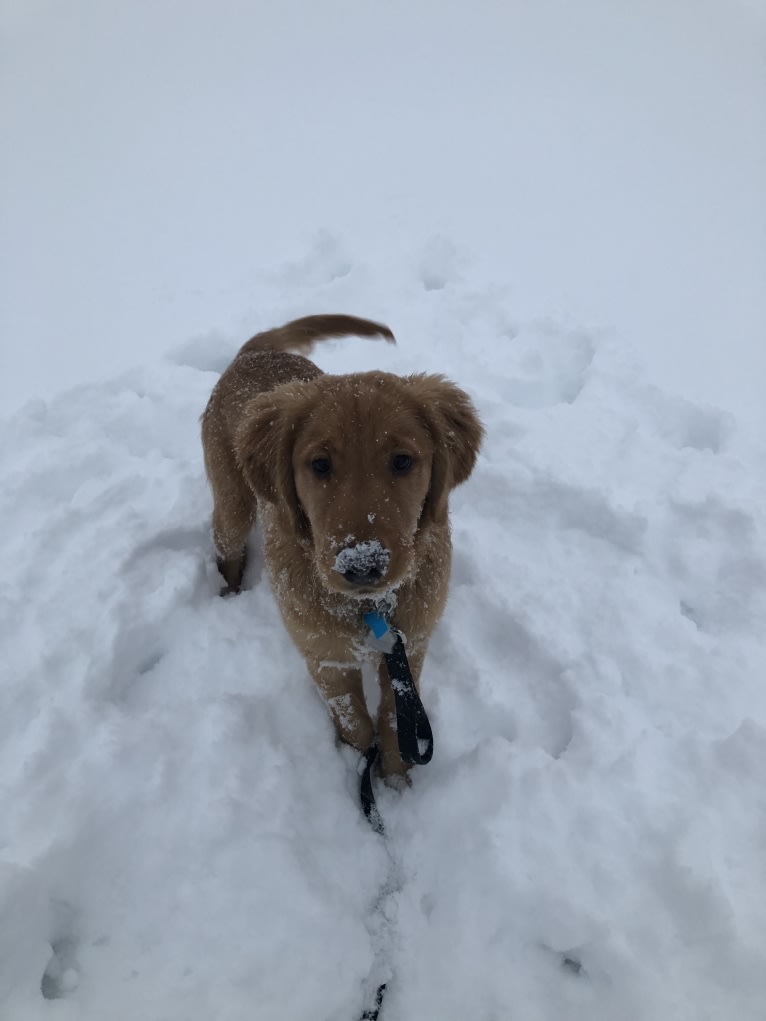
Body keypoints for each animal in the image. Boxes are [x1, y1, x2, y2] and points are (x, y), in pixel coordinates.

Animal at [201, 314, 482, 775]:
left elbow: (393, 722)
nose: (362, 565)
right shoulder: (326, 659)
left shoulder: (410, 648)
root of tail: (256, 352)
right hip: (233, 502)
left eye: (402, 461)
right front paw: (361, 769)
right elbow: (356, 724)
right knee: (226, 545)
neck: (371, 608)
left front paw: (395, 778)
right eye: (319, 464)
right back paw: (229, 591)